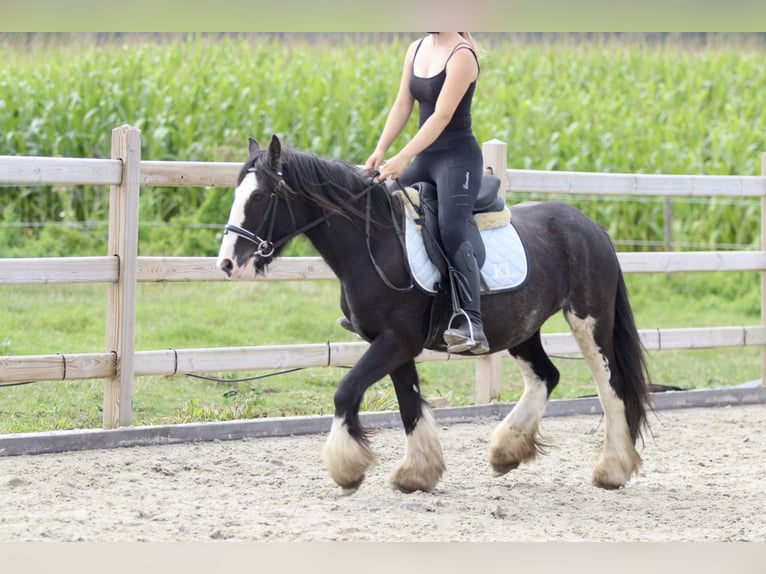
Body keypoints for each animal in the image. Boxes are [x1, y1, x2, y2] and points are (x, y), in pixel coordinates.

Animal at [216, 137, 656, 498]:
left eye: (260, 197)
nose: (227, 264)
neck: (375, 243)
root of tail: (591, 226)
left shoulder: (395, 341)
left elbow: (346, 391)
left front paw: (348, 470)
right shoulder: (394, 344)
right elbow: (409, 403)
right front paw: (417, 474)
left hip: (588, 321)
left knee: (611, 388)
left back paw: (611, 470)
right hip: (522, 328)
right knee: (546, 376)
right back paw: (506, 452)